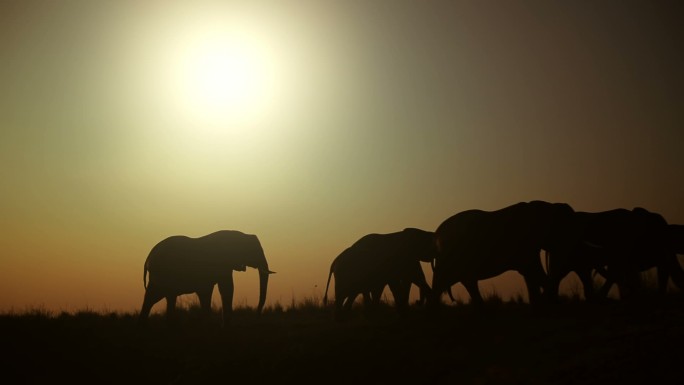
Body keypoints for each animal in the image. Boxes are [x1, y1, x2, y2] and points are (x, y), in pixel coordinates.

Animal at [139, 230, 276, 326]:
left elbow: (208, 292)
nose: (257, 315)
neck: (240, 234)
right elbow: (226, 289)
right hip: (161, 275)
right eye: (255, 251)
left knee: (167, 297)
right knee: (153, 297)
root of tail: (148, 257)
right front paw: (224, 326)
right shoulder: (222, 264)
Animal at [430, 201, 580, 306]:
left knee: (464, 281)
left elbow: (530, 273)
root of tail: (437, 233)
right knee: (451, 280)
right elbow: (532, 270)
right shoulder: (525, 243)